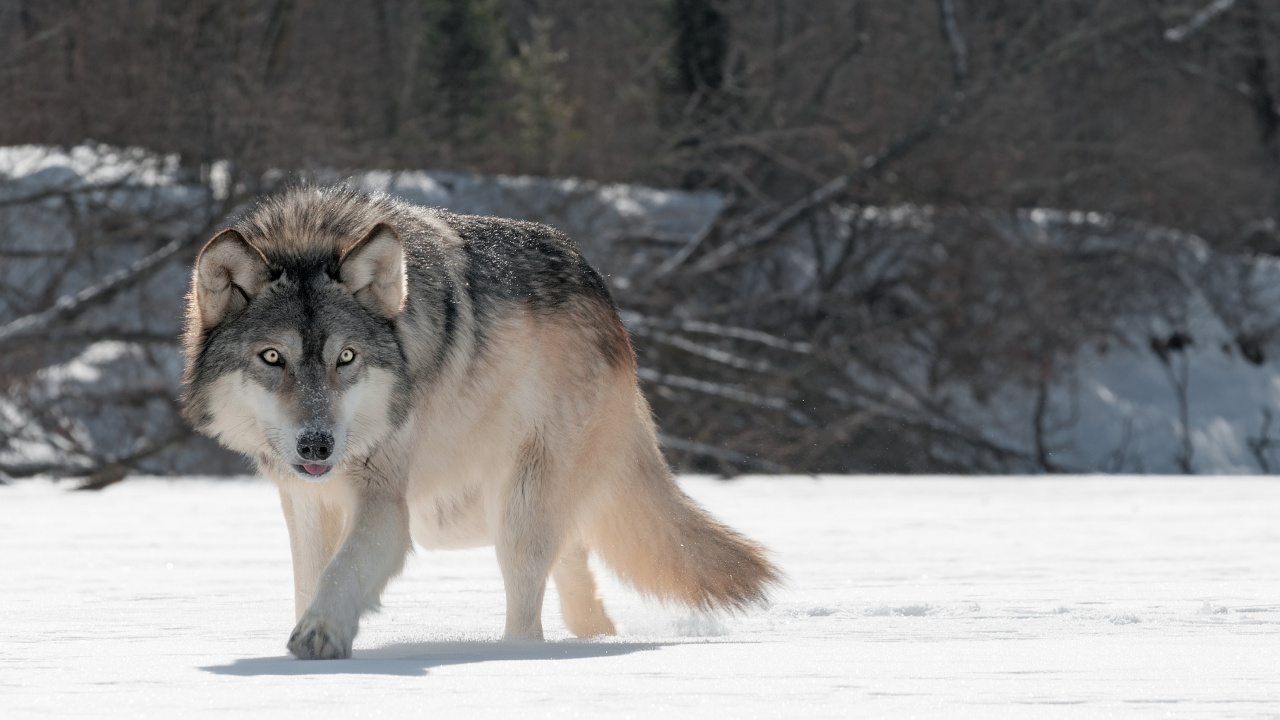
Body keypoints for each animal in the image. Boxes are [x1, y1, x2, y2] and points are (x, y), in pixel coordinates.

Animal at [181, 186, 780, 659]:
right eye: (272, 358)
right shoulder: (306, 502)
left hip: (511, 508)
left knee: (530, 616)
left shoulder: (384, 503)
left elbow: (342, 570)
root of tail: (611, 309)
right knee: (577, 572)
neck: (311, 235)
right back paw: (594, 639)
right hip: (464, 513)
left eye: (346, 358)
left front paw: (320, 634)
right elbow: (311, 578)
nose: (317, 446)